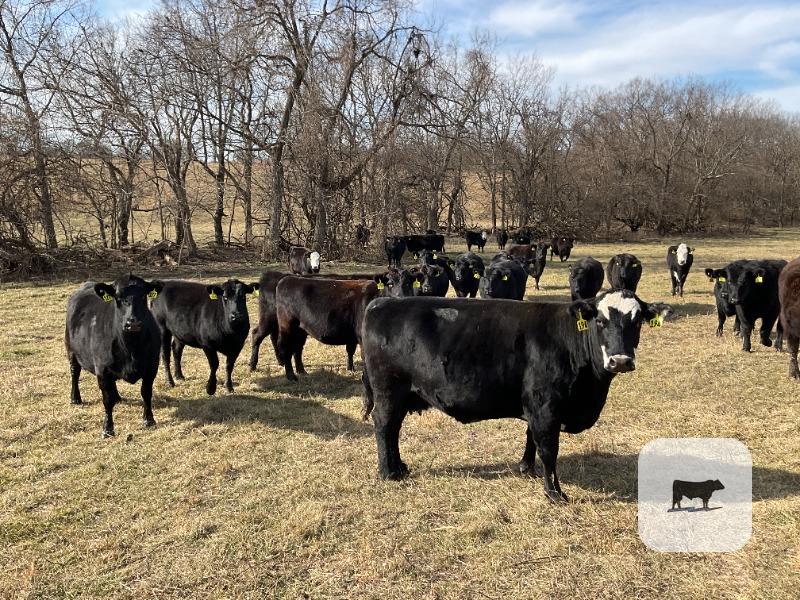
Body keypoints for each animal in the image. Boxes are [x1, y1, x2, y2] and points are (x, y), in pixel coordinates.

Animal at [65, 274, 163, 438]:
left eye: (143, 296)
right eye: (118, 297)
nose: (133, 323)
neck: (131, 348)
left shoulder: (151, 366)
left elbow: (146, 393)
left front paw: (149, 420)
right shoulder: (102, 370)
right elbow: (107, 400)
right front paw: (108, 428)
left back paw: (118, 397)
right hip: (71, 350)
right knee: (75, 373)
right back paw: (75, 398)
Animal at [361, 289, 673, 501]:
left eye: (637, 322)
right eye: (600, 321)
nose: (620, 361)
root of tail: (383, 302)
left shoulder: (536, 406)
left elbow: (530, 437)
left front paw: (526, 468)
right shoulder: (546, 406)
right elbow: (548, 448)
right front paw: (554, 493)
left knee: (393, 429)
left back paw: (399, 466)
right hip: (389, 391)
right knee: (385, 426)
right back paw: (389, 472)